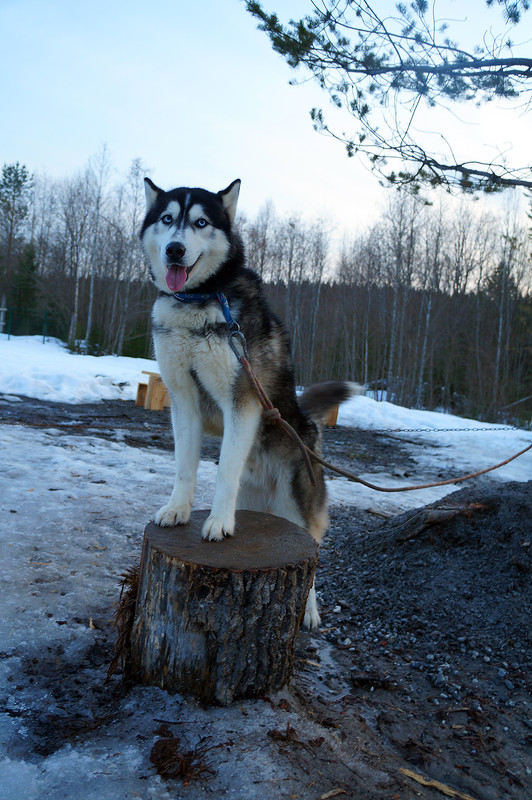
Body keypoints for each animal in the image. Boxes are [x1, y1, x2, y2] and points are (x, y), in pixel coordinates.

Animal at [139, 178, 360, 628]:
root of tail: (308, 423)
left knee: (312, 552)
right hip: (261, 502)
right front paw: (178, 510)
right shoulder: (182, 400)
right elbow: (184, 467)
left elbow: (225, 470)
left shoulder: (241, 401)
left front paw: (219, 524)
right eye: (167, 219)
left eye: (201, 222)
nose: (174, 249)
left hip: (296, 503)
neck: (200, 301)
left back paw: (309, 610)